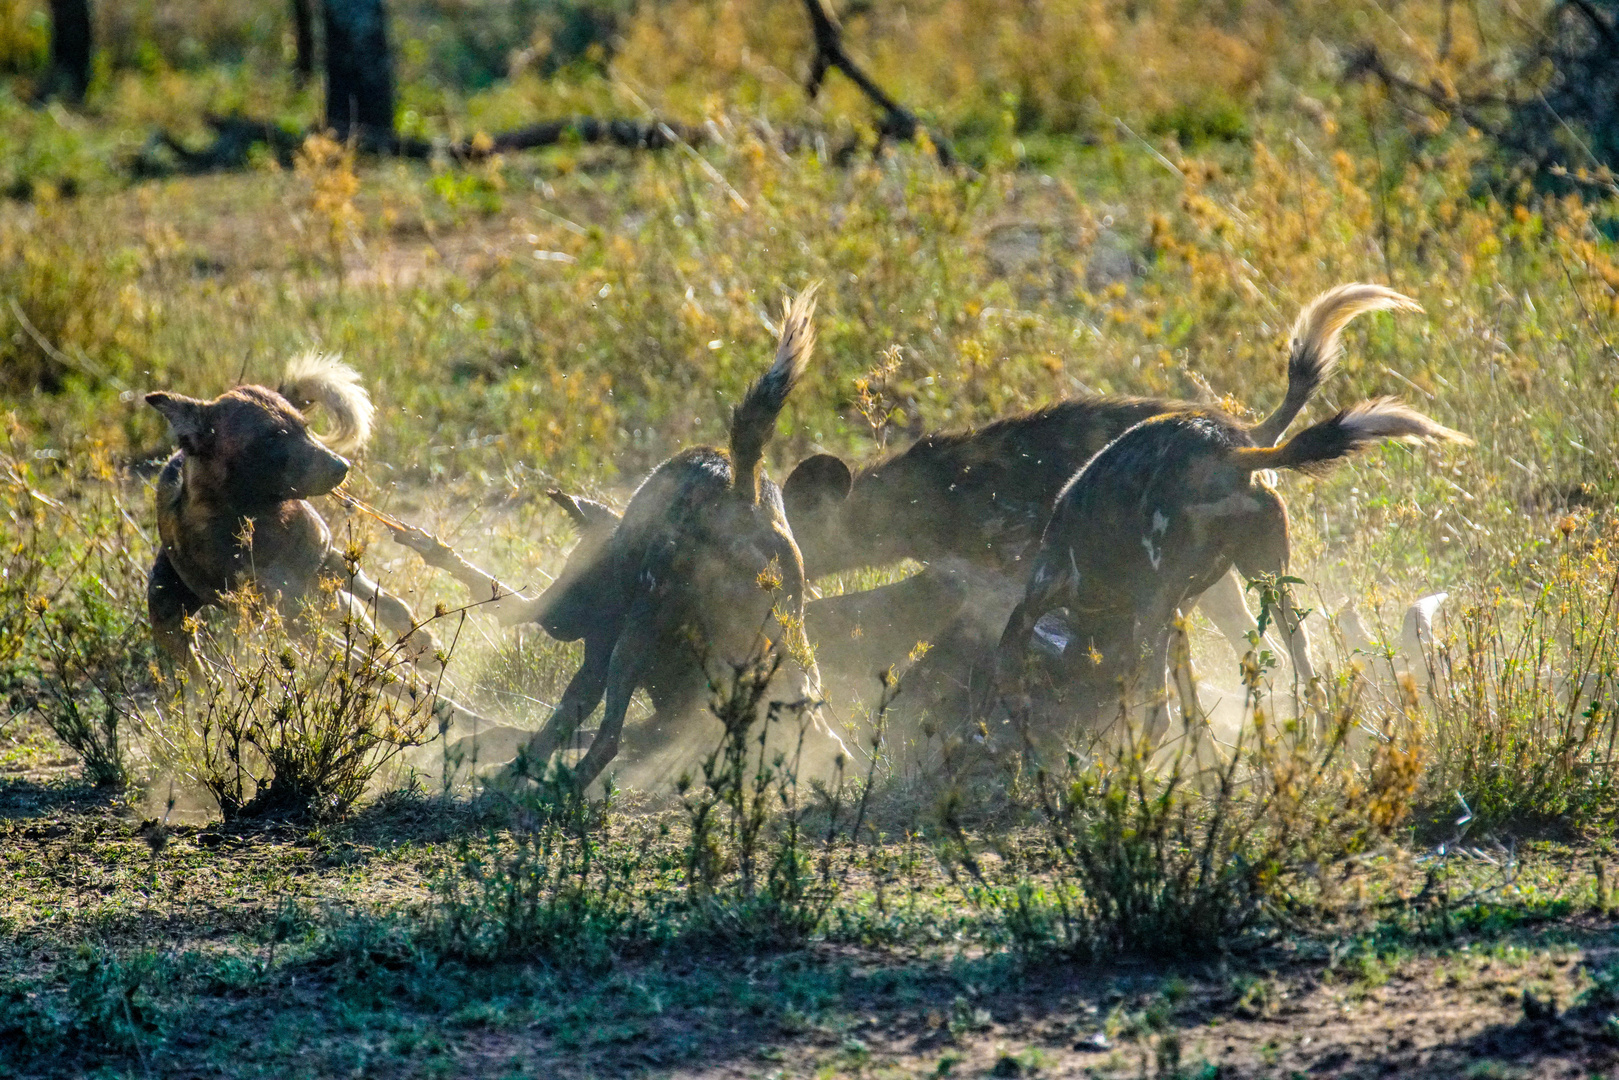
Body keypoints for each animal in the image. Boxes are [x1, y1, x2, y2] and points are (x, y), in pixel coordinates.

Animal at [990, 401, 1476, 748]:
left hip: (1159, 607)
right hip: (1267, 581)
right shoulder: (1176, 617)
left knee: (1159, 716)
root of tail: (1230, 453)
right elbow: (1193, 711)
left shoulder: (1044, 597)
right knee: (1307, 666)